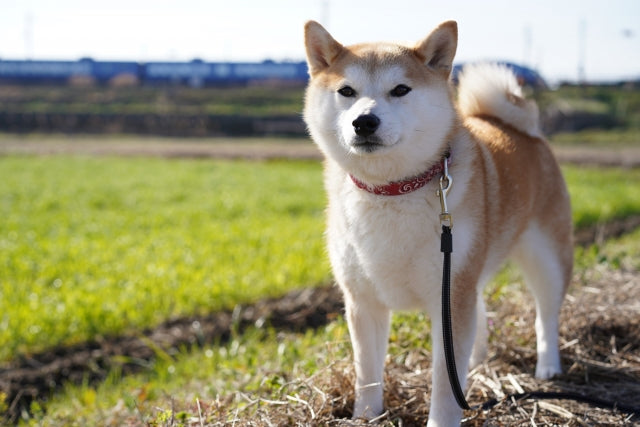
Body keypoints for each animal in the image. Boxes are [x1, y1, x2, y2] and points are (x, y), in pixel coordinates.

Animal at [302, 20, 572, 427]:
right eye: (346, 91)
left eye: (400, 89)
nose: (364, 121)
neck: (391, 190)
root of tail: (521, 129)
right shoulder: (364, 300)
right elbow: (368, 374)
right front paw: (365, 416)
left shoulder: (449, 296)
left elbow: (445, 383)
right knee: (480, 309)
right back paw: (476, 362)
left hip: (546, 259)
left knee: (545, 314)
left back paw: (548, 365)